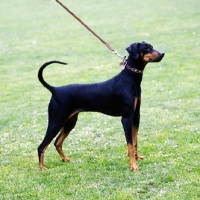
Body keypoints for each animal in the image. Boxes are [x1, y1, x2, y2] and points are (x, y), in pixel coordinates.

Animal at [37, 41, 164, 171]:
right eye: (146, 48)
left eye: (151, 46)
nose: (163, 53)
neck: (129, 79)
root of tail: (55, 90)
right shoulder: (126, 118)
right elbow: (130, 143)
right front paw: (133, 166)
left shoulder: (136, 117)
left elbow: (135, 141)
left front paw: (137, 158)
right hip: (56, 121)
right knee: (41, 146)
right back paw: (42, 168)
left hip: (69, 122)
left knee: (57, 142)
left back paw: (65, 159)